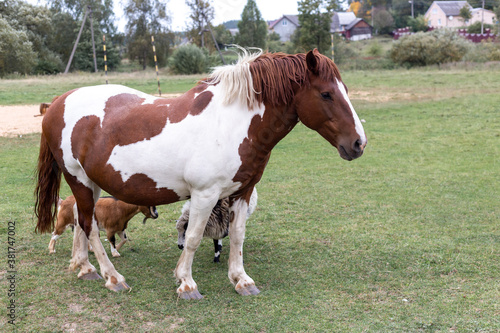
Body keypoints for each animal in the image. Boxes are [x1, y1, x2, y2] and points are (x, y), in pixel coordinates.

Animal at [33, 48, 366, 298]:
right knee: (89, 226)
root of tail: (58, 103)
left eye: (346, 91)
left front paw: (242, 280)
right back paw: (112, 277)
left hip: (89, 183)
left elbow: (237, 235)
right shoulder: (205, 195)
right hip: (79, 180)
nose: (359, 143)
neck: (231, 123)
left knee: (80, 222)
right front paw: (187, 283)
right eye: (326, 94)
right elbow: (192, 237)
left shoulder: (242, 192)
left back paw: (85, 268)